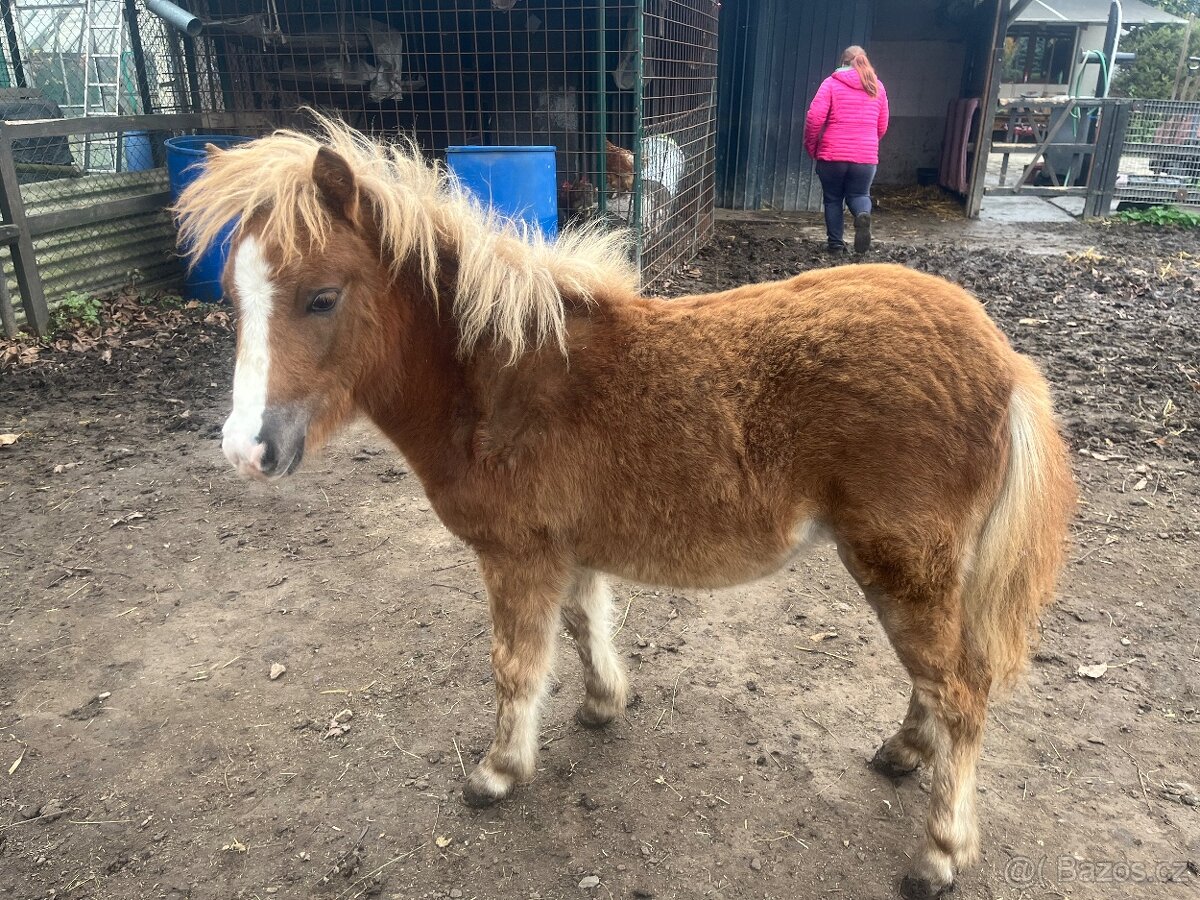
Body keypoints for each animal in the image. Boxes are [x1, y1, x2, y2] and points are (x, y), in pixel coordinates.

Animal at [173, 118, 1075, 900]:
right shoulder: (566, 546)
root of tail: (1005, 361)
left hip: (902, 559)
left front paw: (498, 772)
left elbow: (515, 665)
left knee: (959, 688)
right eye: (233, 299)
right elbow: (584, 624)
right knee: (935, 679)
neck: (497, 379)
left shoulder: (516, 555)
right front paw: (604, 703)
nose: (246, 450)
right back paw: (902, 753)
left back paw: (940, 853)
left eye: (322, 298)